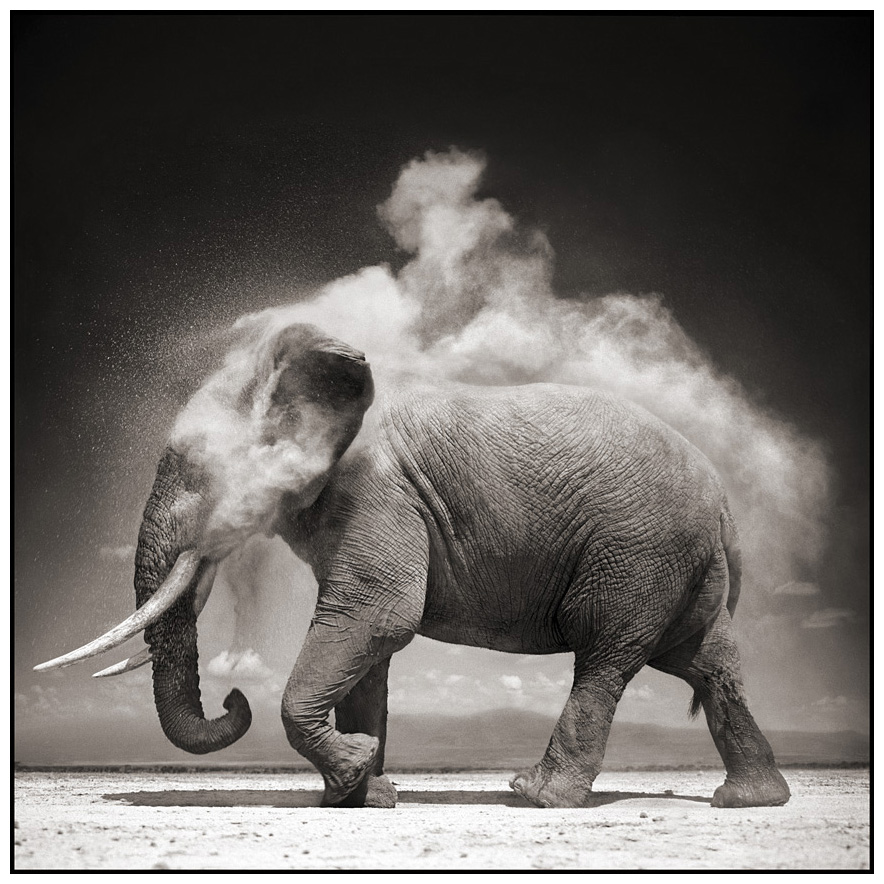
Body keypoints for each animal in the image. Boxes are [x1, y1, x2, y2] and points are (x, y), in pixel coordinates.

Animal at [36, 321, 790, 810]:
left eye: (196, 470)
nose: (232, 698)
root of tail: (725, 505)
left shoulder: (379, 492)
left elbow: (378, 616)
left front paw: (353, 772)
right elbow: (368, 647)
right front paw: (362, 794)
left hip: (638, 552)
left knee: (606, 658)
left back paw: (536, 796)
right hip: (678, 564)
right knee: (706, 663)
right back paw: (749, 801)